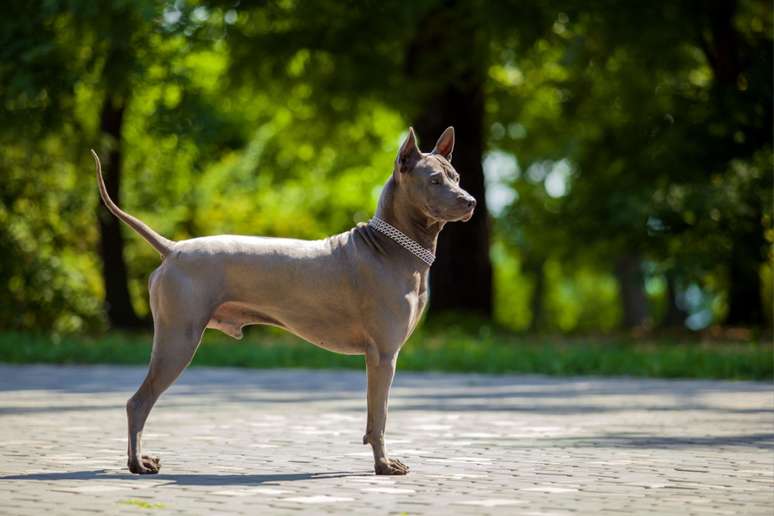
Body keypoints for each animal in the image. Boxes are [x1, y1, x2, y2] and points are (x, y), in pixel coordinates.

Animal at [94, 125, 476, 476]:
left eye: (456, 177)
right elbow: (379, 417)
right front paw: (383, 464)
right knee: (138, 402)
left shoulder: (380, 357)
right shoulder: (383, 356)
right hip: (178, 339)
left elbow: (374, 418)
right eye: (435, 180)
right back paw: (137, 463)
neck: (391, 249)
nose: (470, 201)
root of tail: (173, 249)